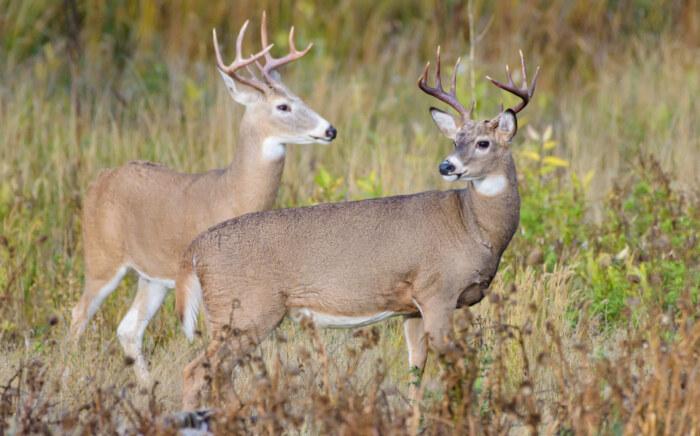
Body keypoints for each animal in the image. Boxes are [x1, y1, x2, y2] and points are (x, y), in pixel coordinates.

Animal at [68, 14, 336, 382]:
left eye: (300, 97)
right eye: (283, 106)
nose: (330, 130)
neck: (234, 194)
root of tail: (99, 181)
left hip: (153, 276)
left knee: (127, 328)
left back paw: (146, 387)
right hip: (102, 257)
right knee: (77, 315)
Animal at [174, 48, 536, 412]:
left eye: (483, 143)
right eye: (456, 139)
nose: (446, 165)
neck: (473, 226)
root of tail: (195, 250)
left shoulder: (412, 306)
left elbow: (416, 372)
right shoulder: (438, 291)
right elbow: (454, 370)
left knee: (219, 373)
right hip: (245, 309)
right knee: (197, 371)